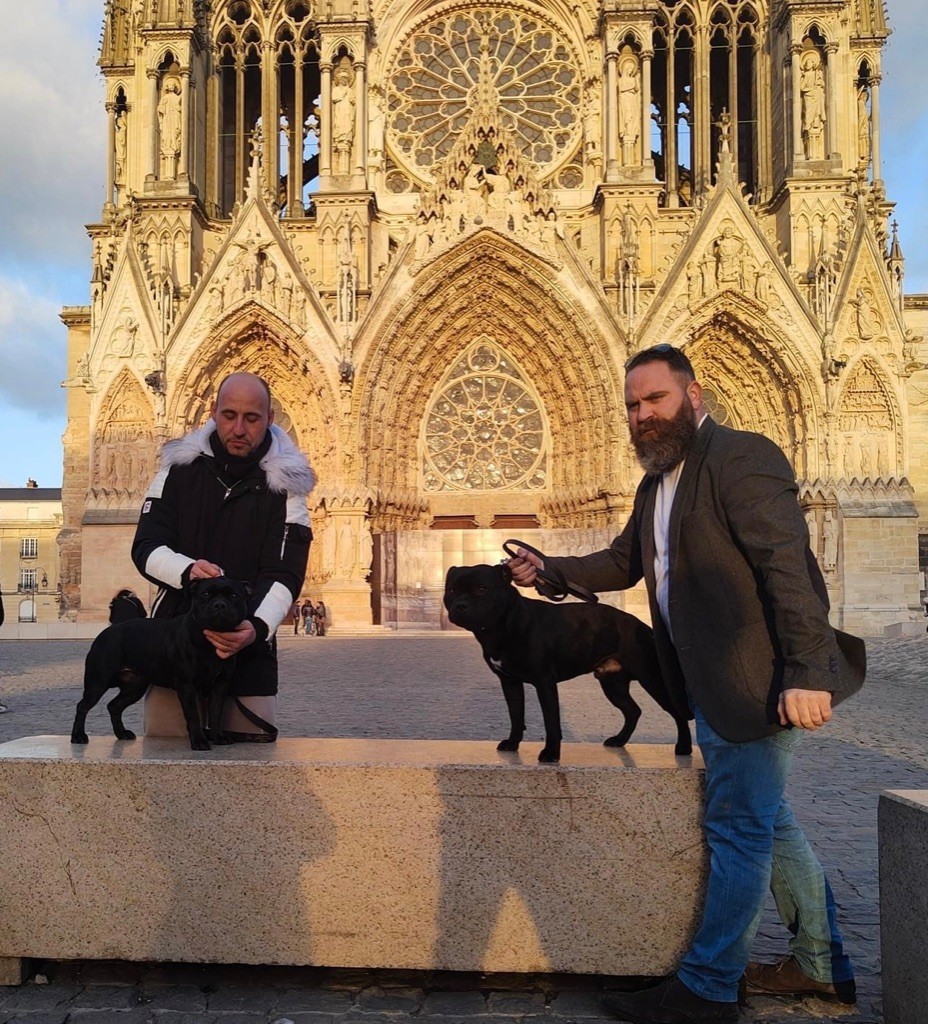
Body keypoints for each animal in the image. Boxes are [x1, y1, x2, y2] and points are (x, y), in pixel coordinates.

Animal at [70, 577, 249, 753]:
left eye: (234, 596)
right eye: (205, 594)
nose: (220, 604)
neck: (209, 638)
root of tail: (107, 632)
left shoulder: (220, 685)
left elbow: (216, 713)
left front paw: (219, 737)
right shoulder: (187, 686)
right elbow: (193, 716)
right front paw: (199, 741)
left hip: (134, 687)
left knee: (114, 706)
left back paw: (122, 733)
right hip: (98, 683)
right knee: (82, 706)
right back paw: (78, 736)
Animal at [444, 565, 692, 765]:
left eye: (482, 589)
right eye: (451, 591)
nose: (460, 605)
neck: (502, 624)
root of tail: (644, 626)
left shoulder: (544, 682)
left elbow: (551, 721)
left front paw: (551, 754)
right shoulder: (510, 682)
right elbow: (516, 715)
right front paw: (513, 744)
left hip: (652, 679)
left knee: (677, 712)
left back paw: (684, 747)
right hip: (613, 685)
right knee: (633, 710)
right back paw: (619, 741)